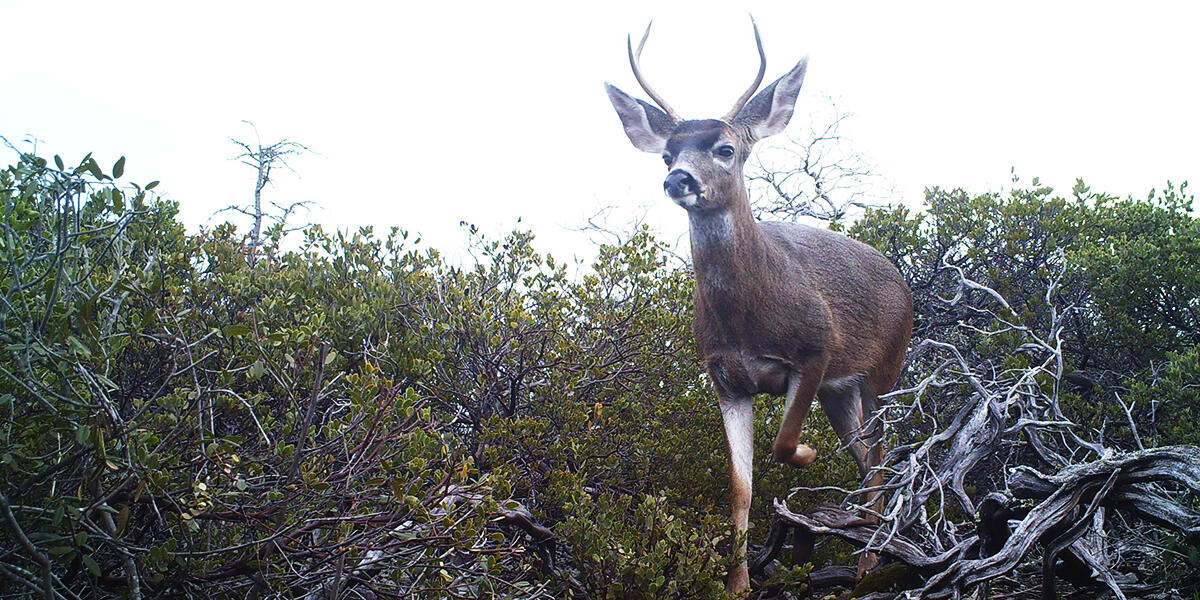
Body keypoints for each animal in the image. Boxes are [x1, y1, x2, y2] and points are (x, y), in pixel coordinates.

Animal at [604, 19, 912, 595]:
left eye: (725, 148)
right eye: (667, 154)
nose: (678, 179)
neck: (749, 318)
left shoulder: (815, 350)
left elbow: (784, 443)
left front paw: (809, 456)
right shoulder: (725, 379)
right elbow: (739, 485)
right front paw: (737, 583)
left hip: (885, 368)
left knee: (882, 460)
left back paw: (867, 563)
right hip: (841, 392)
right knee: (865, 459)